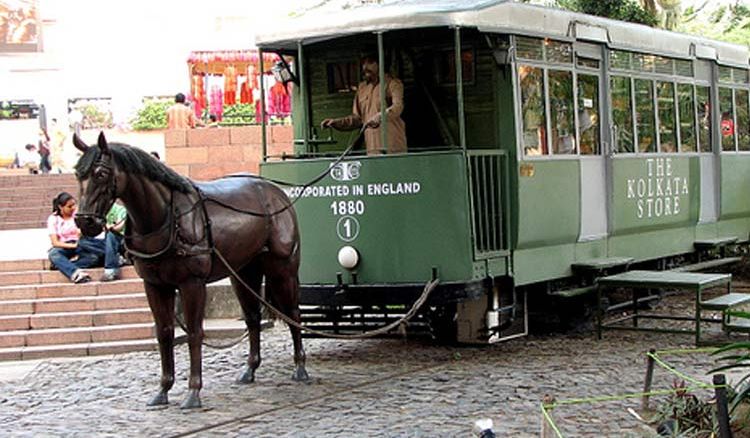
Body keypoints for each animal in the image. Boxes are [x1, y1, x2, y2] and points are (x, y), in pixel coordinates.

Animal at [72, 133, 308, 408]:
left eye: (100, 173)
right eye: (77, 173)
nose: (84, 221)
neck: (164, 217)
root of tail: (276, 192)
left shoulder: (192, 283)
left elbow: (195, 333)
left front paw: (193, 391)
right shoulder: (154, 285)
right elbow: (164, 333)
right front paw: (163, 389)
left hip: (282, 270)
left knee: (293, 313)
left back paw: (300, 367)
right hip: (243, 273)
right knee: (252, 318)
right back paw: (250, 369)